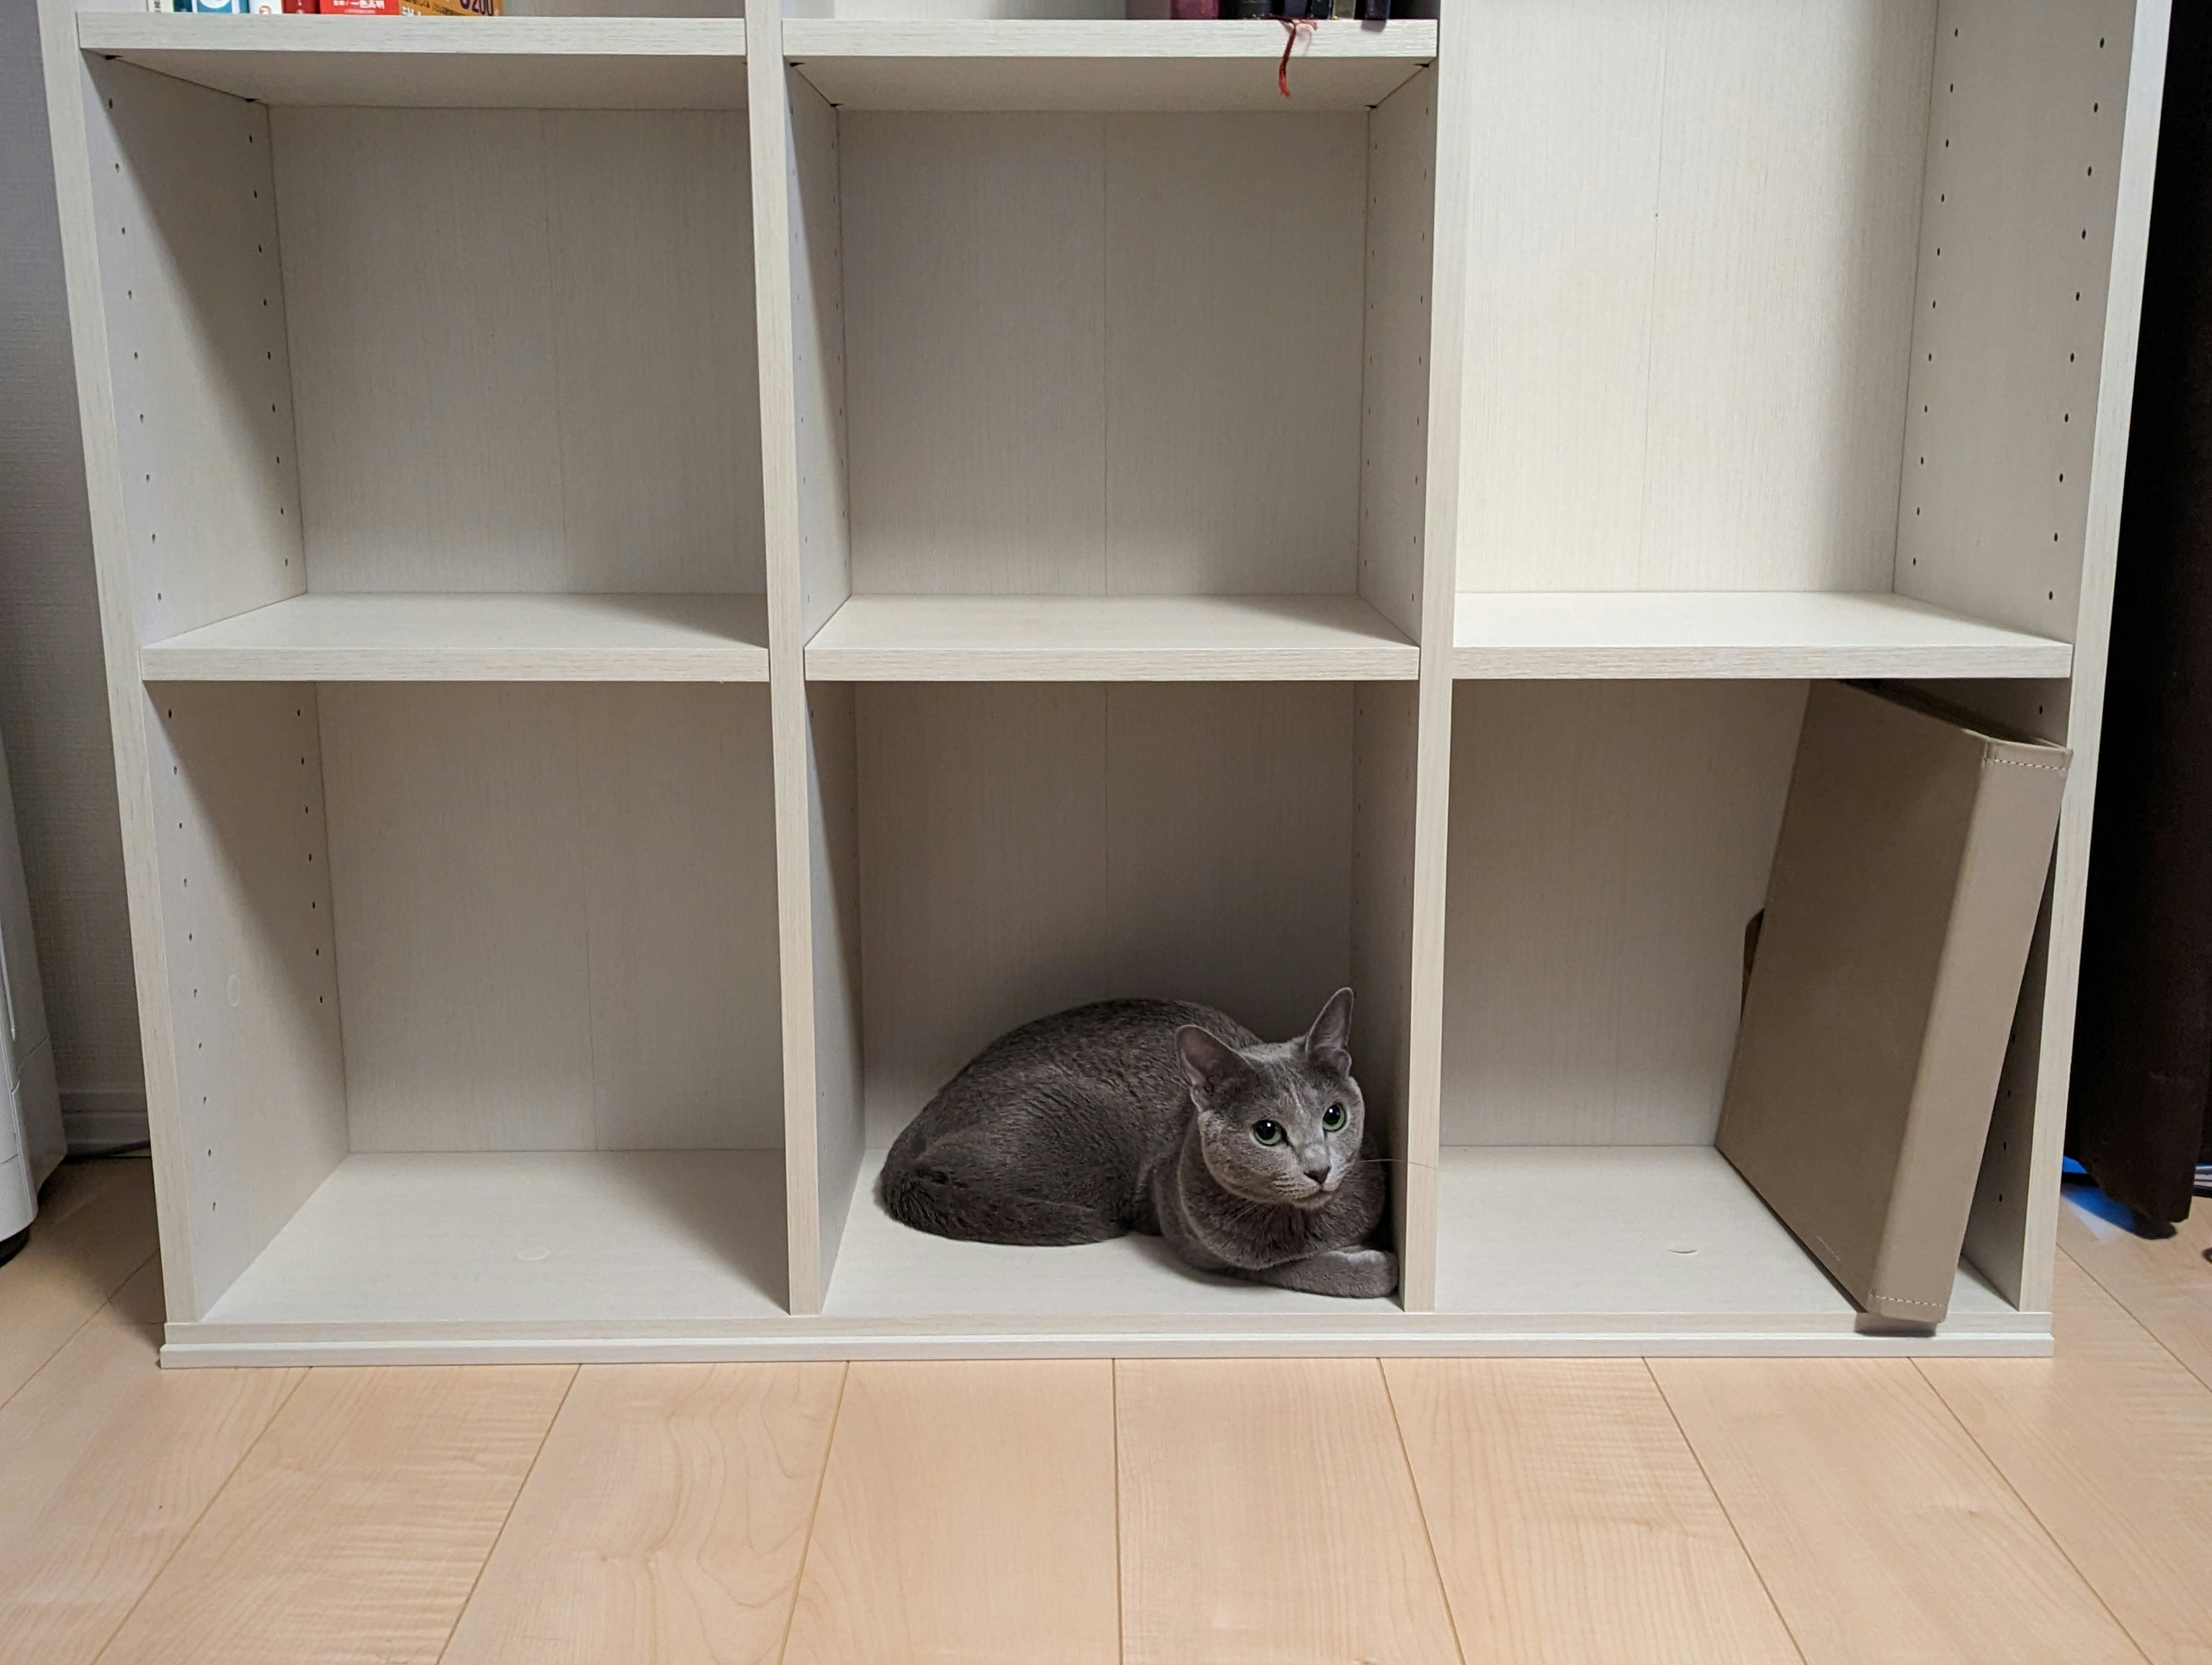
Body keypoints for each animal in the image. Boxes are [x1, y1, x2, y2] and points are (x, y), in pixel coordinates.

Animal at [871, 986, 1389, 1300]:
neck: (1307, 1222)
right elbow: (1293, 1267)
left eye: (1334, 1117)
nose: (1319, 1168)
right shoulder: (1203, 1244)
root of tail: (928, 1108)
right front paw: (1376, 1266)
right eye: (1267, 1132)